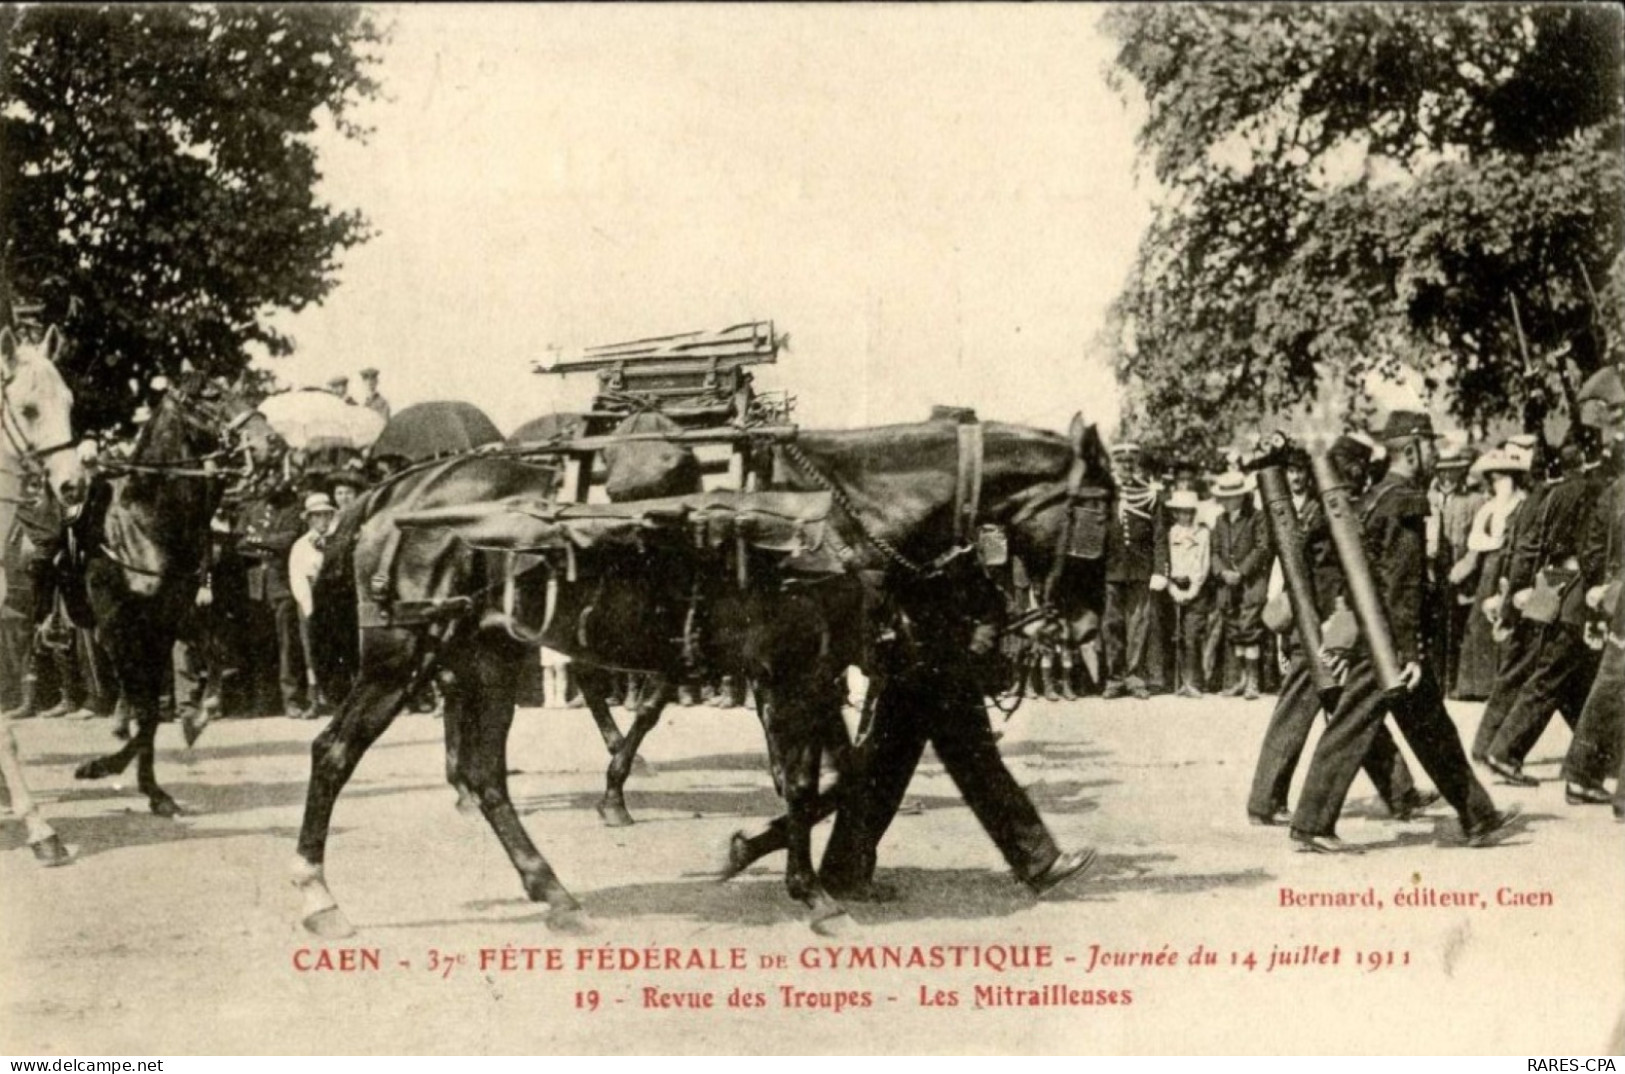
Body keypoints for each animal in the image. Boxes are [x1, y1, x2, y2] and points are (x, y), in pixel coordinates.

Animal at [70, 378, 282, 812]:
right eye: (211, 396)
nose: (272, 443)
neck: (143, 524)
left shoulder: (169, 624)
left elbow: (213, 662)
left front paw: (188, 731)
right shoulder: (118, 631)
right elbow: (148, 711)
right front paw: (100, 767)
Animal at [292, 414, 1111, 935]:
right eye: (1102, 513)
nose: (1079, 628)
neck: (836, 512)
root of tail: (396, 495)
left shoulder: (805, 670)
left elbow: (840, 774)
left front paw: (765, 853)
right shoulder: (794, 670)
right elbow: (810, 779)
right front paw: (813, 895)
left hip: (487, 657)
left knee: (485, 774)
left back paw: (554, 893)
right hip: (404, 653)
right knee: (335, 753)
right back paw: (317, 898)